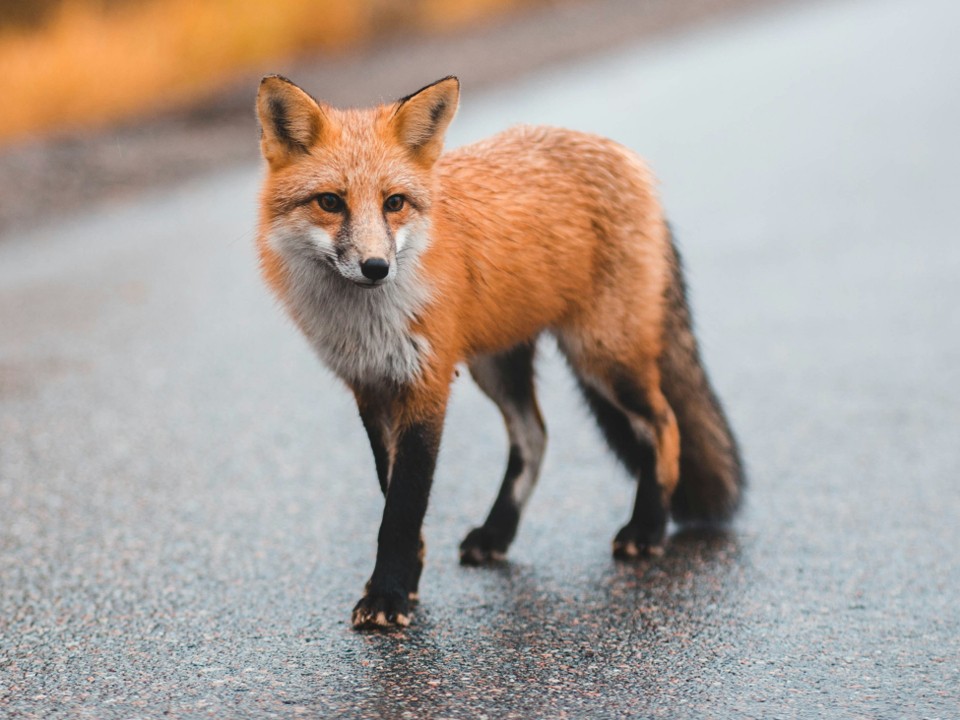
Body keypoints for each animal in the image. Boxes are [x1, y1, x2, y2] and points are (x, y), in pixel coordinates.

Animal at [253, 74, 744, 632]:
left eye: (394, 203)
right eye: (331, 202)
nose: (377, 267)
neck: (367, 322)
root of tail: (623, 155)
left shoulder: (428, 384)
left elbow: (403, 506)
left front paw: (388, 595)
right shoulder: (371, 388)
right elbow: (391, 492)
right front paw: (407, 580)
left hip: (602, 356)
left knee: (663, 425)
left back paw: (647, 528)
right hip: (498, 366)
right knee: (535, 436)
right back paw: (497, 533)